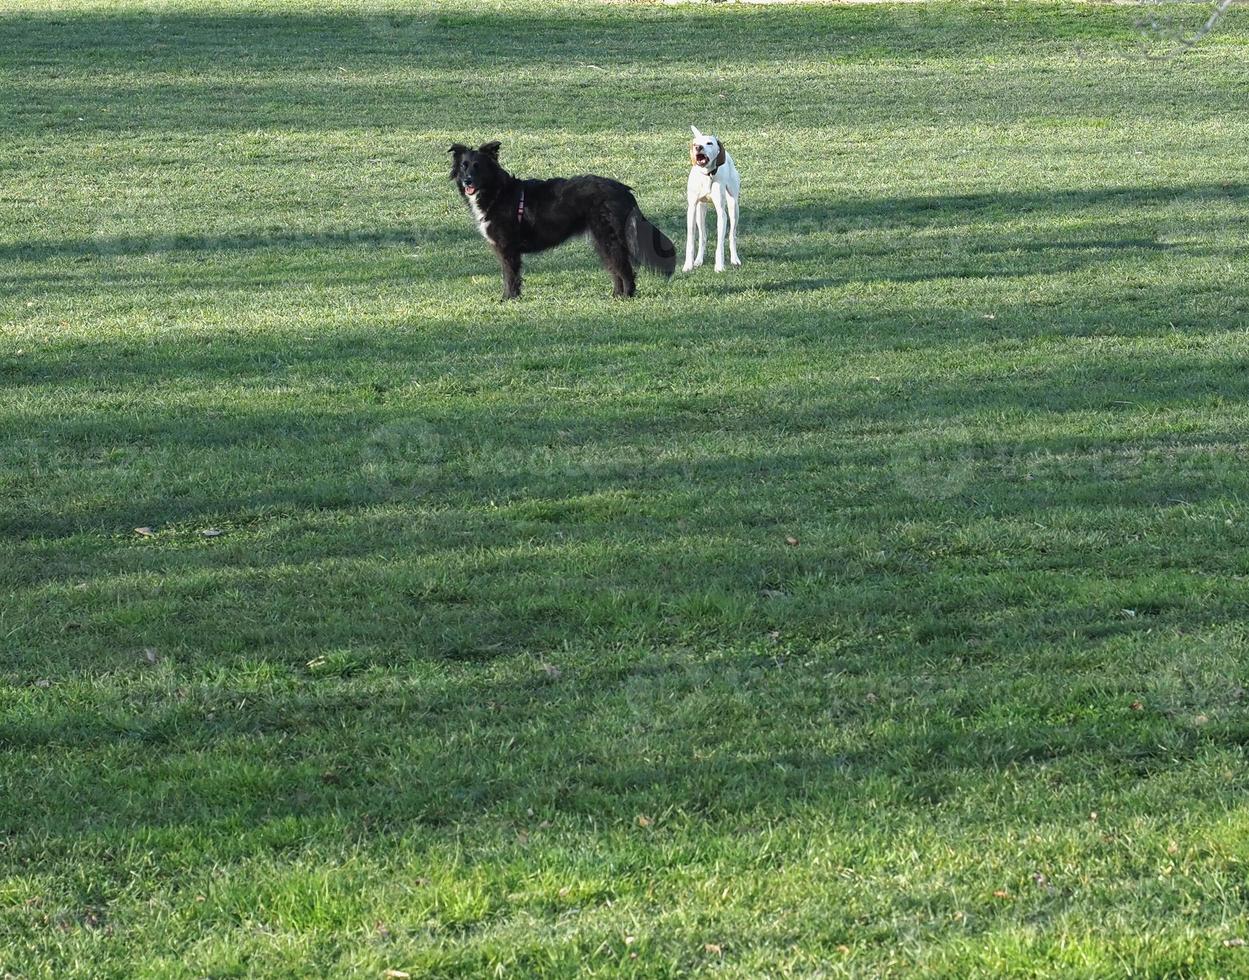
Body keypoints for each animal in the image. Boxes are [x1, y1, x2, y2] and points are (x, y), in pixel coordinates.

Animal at [452, 139, 674, 295]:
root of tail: (624, 190)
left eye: (478, 166)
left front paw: (508, 298)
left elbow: (510, 276)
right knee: (616, 269)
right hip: (601, 241)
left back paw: (626, 295)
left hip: (609, 238)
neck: (497, 192)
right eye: (464, 166)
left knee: (625, 269)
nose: (467, 181)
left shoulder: (507, 248)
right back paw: (616, 295)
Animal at [684, 126, 739, 273]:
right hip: (700, 211)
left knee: (732, 235)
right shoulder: (692, 209)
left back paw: (735, 259)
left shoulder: (721, 213)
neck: (706, 175)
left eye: (709, 143)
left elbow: (720, 244)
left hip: (733, 206)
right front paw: (688, 265)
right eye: (695, 144)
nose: (698, 147)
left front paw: (719, 266)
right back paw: (698, 260)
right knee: (703, 236)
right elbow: (691, 240)